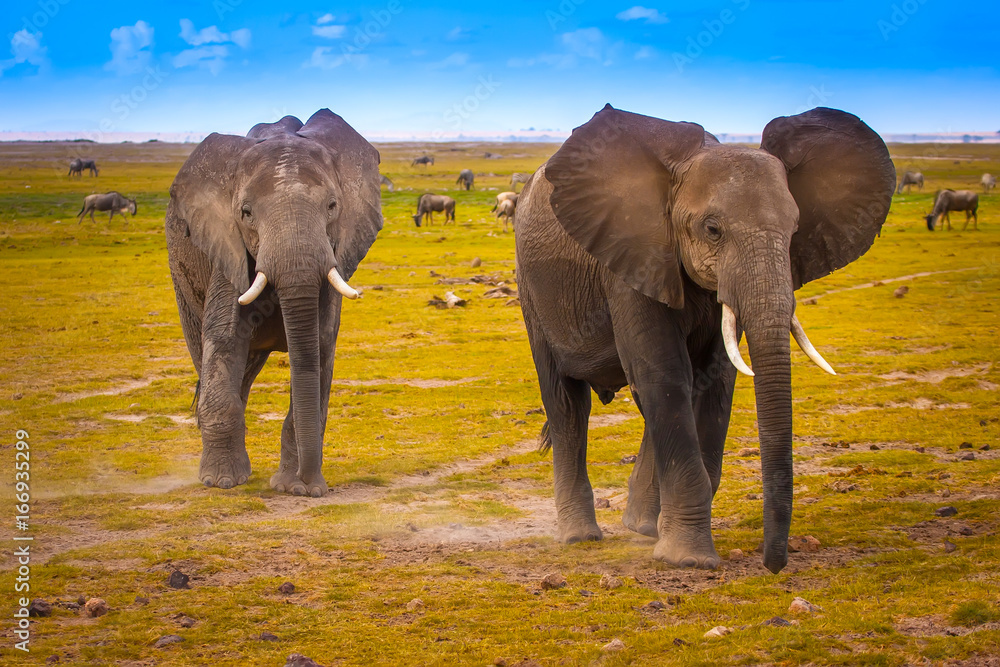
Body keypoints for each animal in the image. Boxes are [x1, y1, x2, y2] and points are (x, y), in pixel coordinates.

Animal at [165, 109, 382, 496]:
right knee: (207, 355)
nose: (312, 485)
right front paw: (221, 482)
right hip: (183, 281)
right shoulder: (228, 250)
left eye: (332, 206)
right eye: (246, 213)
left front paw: (297, 488)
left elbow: (320, 347)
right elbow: (225, 337)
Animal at [514, 105, 894, 573]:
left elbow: (715, 378)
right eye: (713, 229)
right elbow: (663, 373)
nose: (773, 565)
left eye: (795, 230)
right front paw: (689, 560)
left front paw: (670, 539)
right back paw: (580, 537)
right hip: (533, 291)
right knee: (568, 403)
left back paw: (643, 526)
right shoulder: (632, 256)